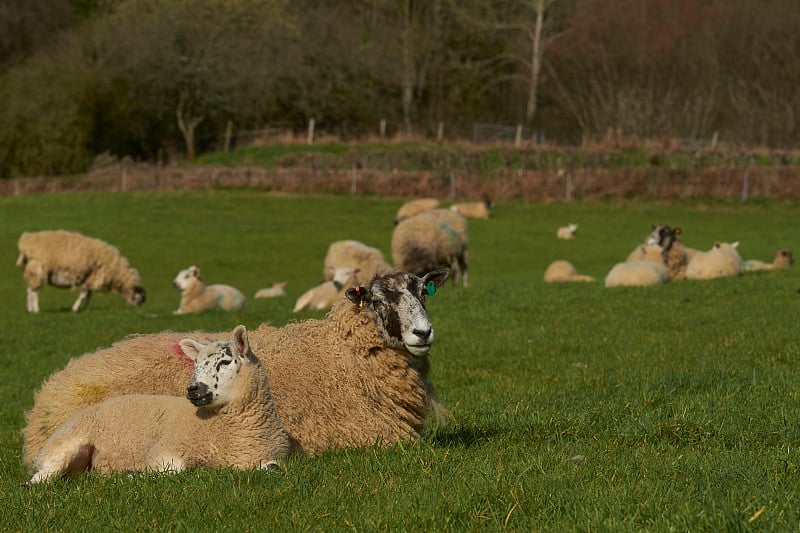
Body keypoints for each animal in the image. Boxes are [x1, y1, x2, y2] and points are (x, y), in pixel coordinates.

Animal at [15, 229, 146, 312]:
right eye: (139, 297)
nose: (138, 309)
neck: (115, 271)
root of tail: (25, 241)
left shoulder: (91, 278)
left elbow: (89, 295)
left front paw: (86, 309)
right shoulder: (90, 278)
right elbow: (83, 295)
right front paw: (75, 309)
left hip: (31, 271)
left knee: (29, 290)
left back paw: (29, 309)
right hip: (37, 271)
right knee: (35, 292)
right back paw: (36, 309)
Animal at [20, 266, 450, 462]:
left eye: (423, 293)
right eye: (377, 300)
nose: (423, 333)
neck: (342, 350)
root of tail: (47, 398)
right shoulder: (374, 437)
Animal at [28, 324, 290, 482]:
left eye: (225, 362)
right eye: (195, 364)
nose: (193, 389)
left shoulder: (269, 458)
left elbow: (273, 468)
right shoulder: (165, 449)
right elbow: (172, 470)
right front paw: (135, 474)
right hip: (65, 444)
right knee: (43, 476)